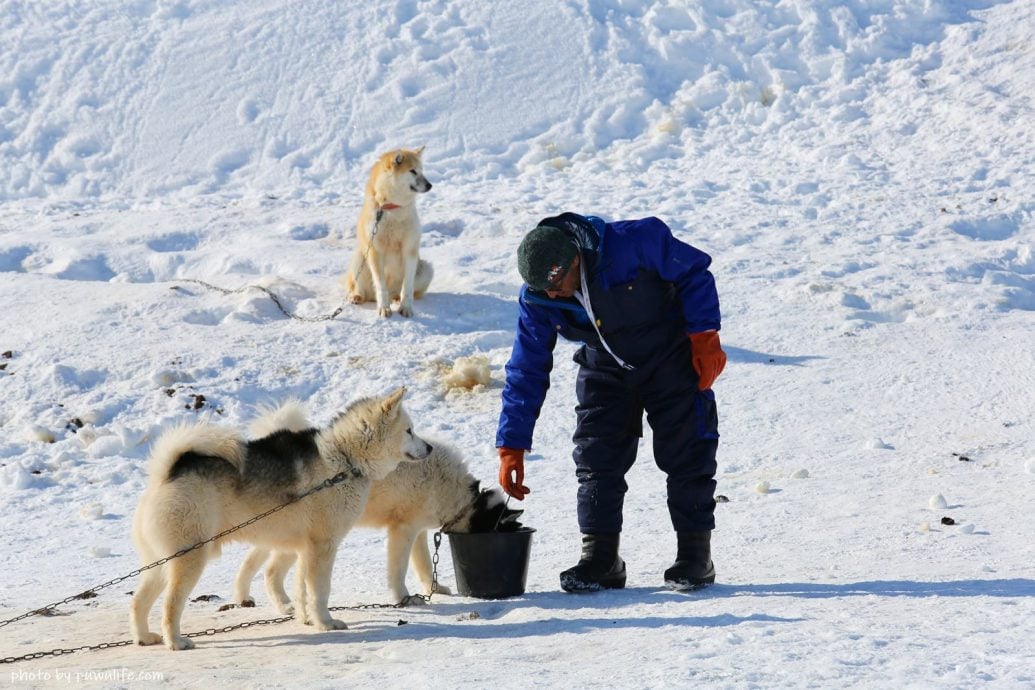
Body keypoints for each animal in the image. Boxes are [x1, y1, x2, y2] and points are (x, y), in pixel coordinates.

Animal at [128, 388, 428, 653]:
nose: (429, 447)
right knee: (170, 604)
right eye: (409, 430)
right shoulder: (323, 547)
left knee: (138, 601)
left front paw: (307, 620)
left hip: (159, 563)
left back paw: (144, 637)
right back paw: (176, 642)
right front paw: (326, 623)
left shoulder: (306, 550)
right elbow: (319, 591)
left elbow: (302, 590)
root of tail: (167, 473)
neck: (345, 460)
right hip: (190, 558)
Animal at [234, 401, 525, 608]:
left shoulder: (418, 531)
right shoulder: (403, 530)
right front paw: (403, 598)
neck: (461, 496)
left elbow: (423, 565)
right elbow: (399, 569)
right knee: (269, 570)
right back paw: (282, 606)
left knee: (255, 564)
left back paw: (248, 598)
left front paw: (434, 589)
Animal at [343, 146, 432, 320]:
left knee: (403, 291)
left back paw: (396, 298)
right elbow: (380, 286)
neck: (392, 208)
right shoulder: (375, 250)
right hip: (360, 257)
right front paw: (384, 308)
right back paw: (357, 297)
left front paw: (406, 308)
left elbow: (408, 288)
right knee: (361, 289)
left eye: (421, 170)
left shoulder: (410, 250)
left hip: (425, 268)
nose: (430, 185)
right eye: (412, 171)